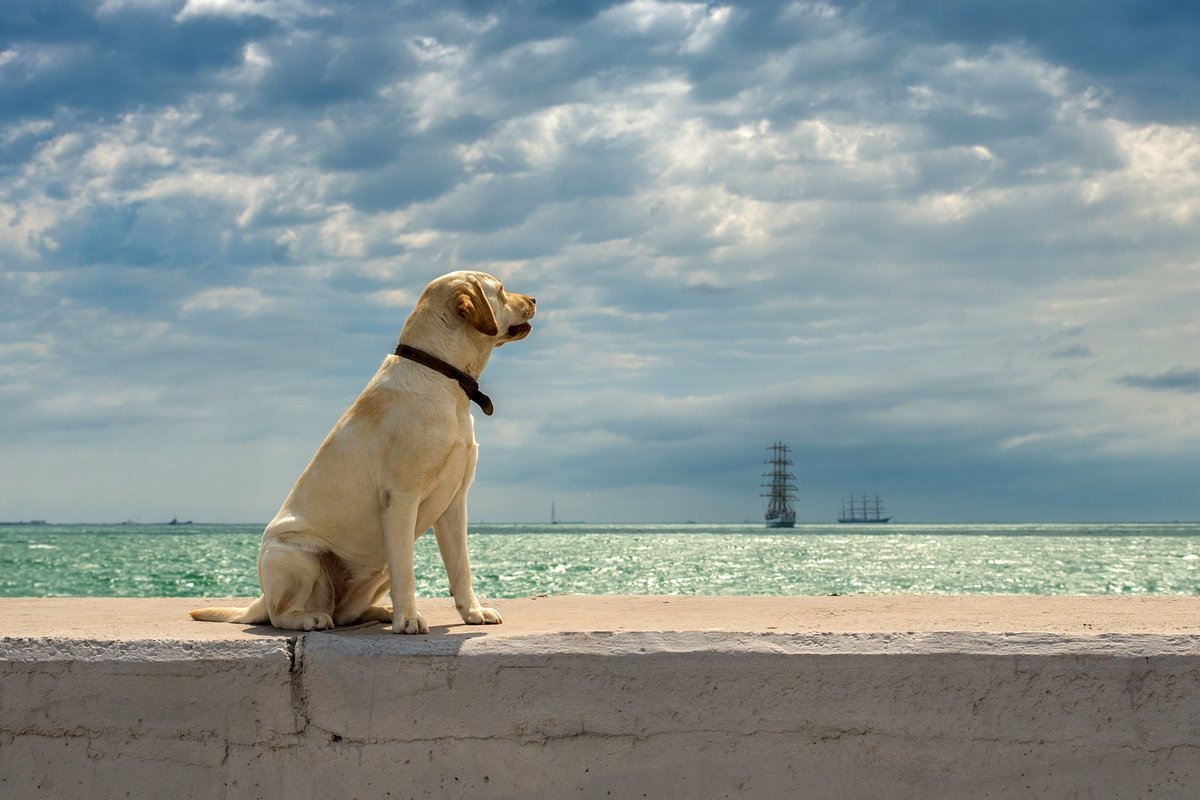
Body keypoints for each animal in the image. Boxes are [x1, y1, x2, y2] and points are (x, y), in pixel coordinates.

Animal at [190, 272, 535, 633]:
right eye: (501, 290)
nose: (534, 300)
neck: (442, 374)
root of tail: (259, 599)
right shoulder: (400, 498)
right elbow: (406, 571)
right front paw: (408, 619)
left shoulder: (454, 501)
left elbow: (461, 565)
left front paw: (473, 612)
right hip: (297, 555)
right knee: (280, 615)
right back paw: (311, 618)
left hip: (371, 571)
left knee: (346, 614)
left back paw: (379, 612)